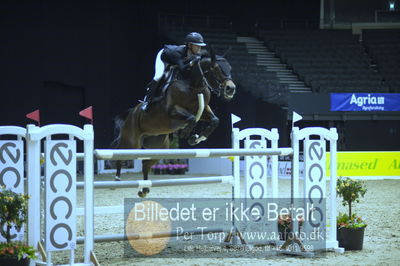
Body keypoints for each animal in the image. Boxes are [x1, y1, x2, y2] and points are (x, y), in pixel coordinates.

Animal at [112, 49, 236, 197]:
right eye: (215, 68)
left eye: (230, 68)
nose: (230, 89)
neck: (194, 85)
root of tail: (131, 112)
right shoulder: (171, 111)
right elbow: (191, 119)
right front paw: (186, 133)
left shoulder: (204, 109)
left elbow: (215, 120)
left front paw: (196, 138)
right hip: (132, 142)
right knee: (120, 154)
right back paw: (116, 180)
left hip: (158, 147)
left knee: (145, 164)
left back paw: (144, 190)